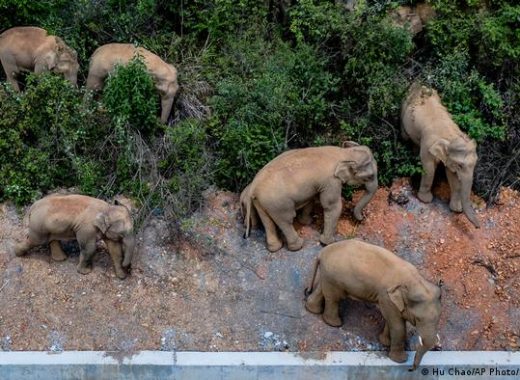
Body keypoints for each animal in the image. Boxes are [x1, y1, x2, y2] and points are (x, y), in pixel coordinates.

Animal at [240, 142, 378, 252]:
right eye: (370, 176)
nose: (361, 219)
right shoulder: (331, 181)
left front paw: (307, 222)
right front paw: (328, 243)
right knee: (286, 220)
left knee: (267, 221)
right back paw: (298, 246)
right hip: (278, 204)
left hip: (262, 202)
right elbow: (332, 206)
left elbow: (310, 199)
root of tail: (254, 186)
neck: (343, 153)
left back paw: (274, 248)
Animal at [304, 240, 442, 372]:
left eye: (438, 319)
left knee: (322, 289)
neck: (415, 281)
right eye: (418, 319)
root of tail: (322, 253)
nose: (411, 369)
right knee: (334, 298)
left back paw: (312, 309)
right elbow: (398, 326)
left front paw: (385, 342)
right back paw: (335, 324)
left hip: (328, 275)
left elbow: (390, 320)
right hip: (334, 276)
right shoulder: (386, 296)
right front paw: (400, 360)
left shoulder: (388, 300)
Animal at [400, 84, 482, 227]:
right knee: (404, 135)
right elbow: (429, 168)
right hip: (403, 109)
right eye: (460, 165)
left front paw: (456, 209)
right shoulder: (428, 144)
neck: (450, 136)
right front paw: (425, 200)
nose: (478, 227)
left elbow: (451, 175)